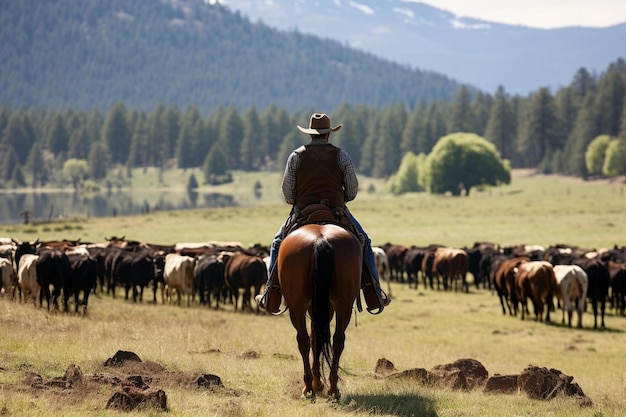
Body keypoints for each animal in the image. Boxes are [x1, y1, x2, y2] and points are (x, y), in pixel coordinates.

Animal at [278, 223, 360, 398]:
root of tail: (320, 238)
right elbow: (318, 336)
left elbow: (315, 337)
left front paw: (317, 382)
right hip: (344, 304)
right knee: (337, 340)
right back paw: (332, 389)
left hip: (297, 306)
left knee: (303, 340)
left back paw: (309, 388)